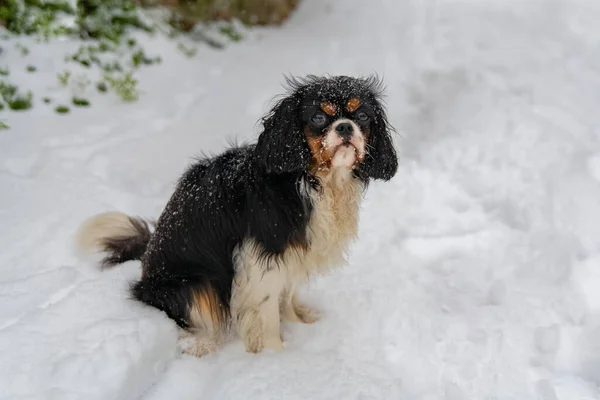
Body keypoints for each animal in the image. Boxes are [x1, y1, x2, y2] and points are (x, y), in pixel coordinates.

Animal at [76, 75, 398, 356]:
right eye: (319, 118)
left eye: (363, 116)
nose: (345, 128)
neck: (310, 179)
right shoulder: (260, 260)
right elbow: (267, 313)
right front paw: (276, 356)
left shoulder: (291, 254)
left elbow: (287, 295)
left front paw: (298, 321)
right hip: (194, 285)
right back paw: (200, 345)